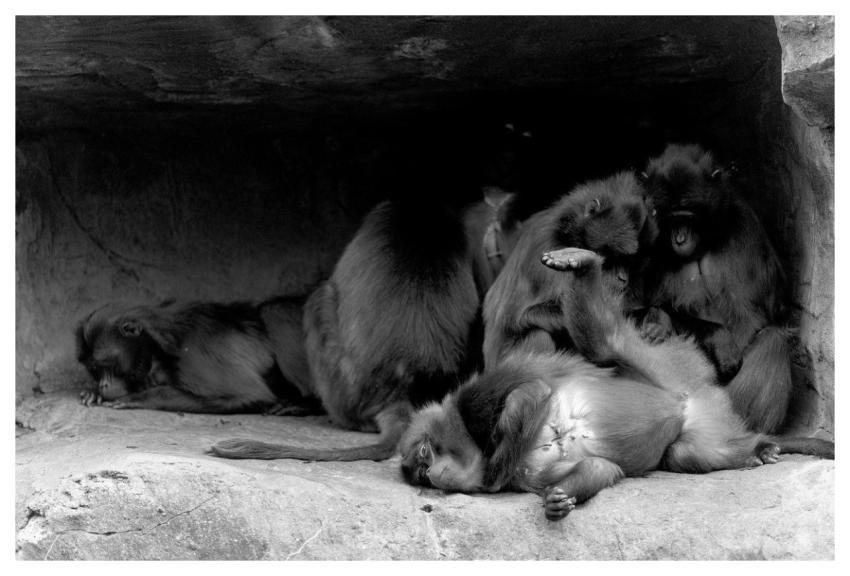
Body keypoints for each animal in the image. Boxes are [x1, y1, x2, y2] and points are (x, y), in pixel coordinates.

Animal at [75, 296, 321, 415]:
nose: (105, 384)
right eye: (95, 370)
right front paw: (93, 391)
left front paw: (136, 398)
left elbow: (251, 395)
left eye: (108, 365)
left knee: (274, 310)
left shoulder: (194, 352)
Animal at [400, 246, 833, 521]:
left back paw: (583, 263)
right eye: (420, 474)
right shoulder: (525, 476)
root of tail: (690, 399)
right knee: (685, 453)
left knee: (605, 342)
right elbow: (599, 467)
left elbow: (531, 393)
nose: (432, 477)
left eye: (424, 455)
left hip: (662, 365)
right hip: (700, 417)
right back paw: (755, 450)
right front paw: (559, 501)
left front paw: (495, 466)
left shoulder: (478, 398)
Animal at [482, 170, 658, 369]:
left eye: (631, 262)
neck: (564, 232)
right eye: (615, 257)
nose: (622, 278)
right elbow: (521, 316)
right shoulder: (549, 248)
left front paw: (658, 319)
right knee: (539, 336)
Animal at [637, 143, 792, 434]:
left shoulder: (744, 229)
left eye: (689, 217)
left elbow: (751, 316)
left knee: (774, 339)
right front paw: (717, 337)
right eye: (670, 218)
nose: (680, 238)